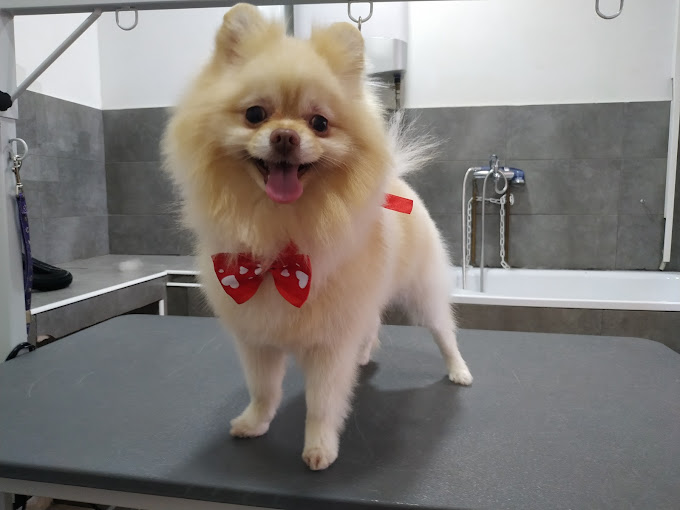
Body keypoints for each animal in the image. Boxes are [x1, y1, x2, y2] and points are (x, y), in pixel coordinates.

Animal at [162, 3, 472, 471]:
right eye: (255, 114)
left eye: (320, 123)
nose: (286, 135)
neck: (279, 239)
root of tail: (396, 181)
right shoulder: (257, 339)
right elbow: (263, 390)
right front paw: (254, 423)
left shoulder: (329, 344)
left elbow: (322, 403)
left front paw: (320, 447)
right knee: (372, 324)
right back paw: (364, 354)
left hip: (423, 292)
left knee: (443, 332)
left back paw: (458, 370)